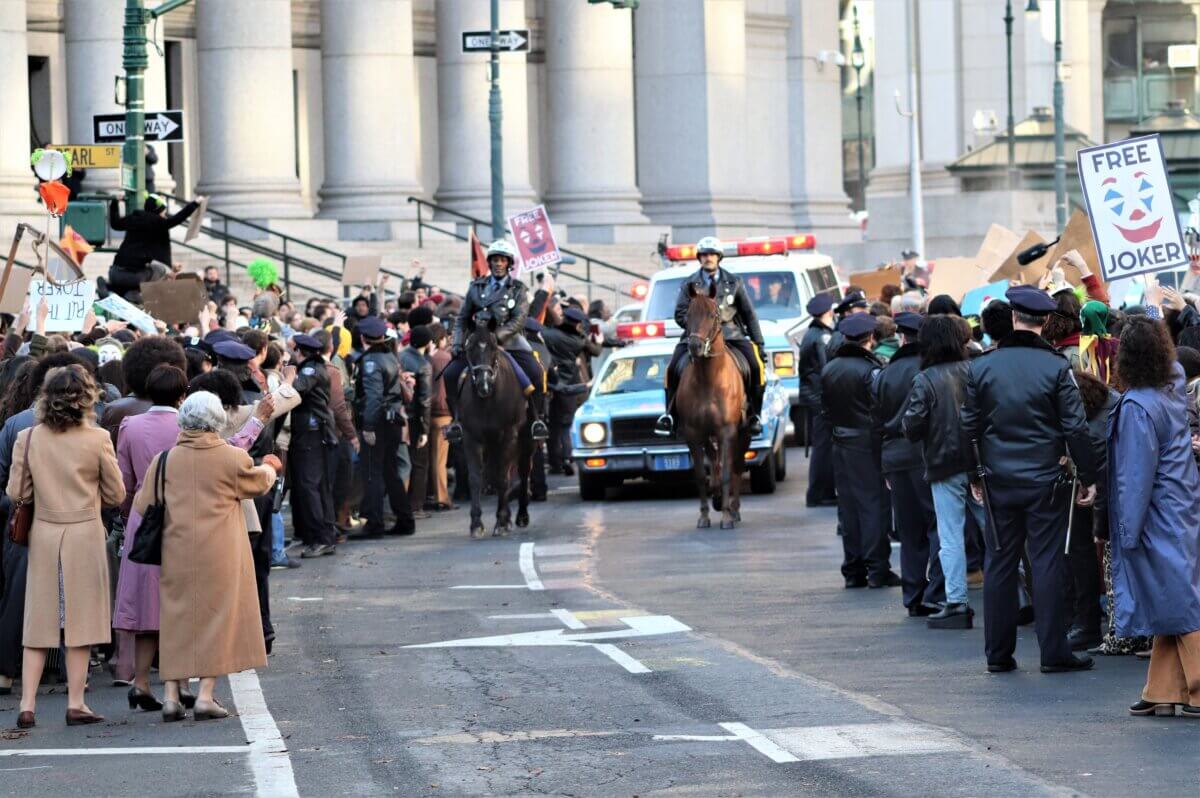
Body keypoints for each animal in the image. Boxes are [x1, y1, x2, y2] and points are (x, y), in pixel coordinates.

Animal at [458, 316, 535, 535]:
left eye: (493, 347)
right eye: (469, 347)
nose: (483, 385)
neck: (488, 401)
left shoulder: (508, 435)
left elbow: (503, 476)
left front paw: (502, 521)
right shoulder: (471, 437)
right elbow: (476, 477)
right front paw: (476, 523)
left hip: (526, 440)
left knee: (523, 472)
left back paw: (521, 515)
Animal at [676, 282, 748, 528]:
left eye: (712, 314)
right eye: (687, 315)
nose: (695, 346)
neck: (709, 380)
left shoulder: (727, 431)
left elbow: (727, 472)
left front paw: (726, 516)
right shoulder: (693, 433)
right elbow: (701, 475)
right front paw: (705, 515)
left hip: (743, 433)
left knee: (735, 465)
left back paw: (734, 509)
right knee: (715, 460)